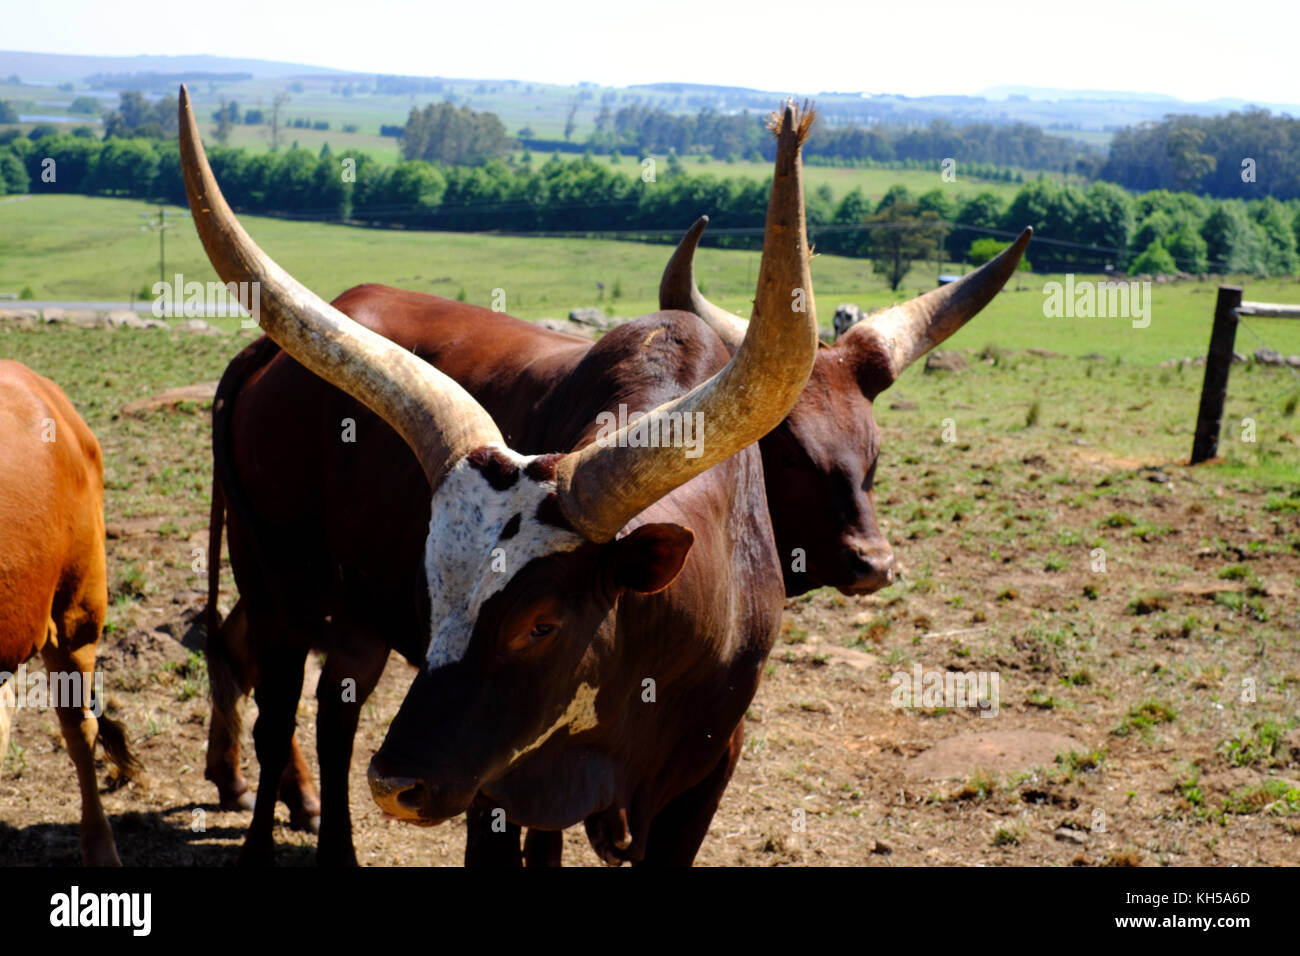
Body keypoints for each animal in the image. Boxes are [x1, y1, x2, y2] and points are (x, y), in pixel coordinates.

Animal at [182, 85, 816, 868]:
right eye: (430, 595)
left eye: (541, 624)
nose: (397, 784)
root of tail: (265, 357)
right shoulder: (503, 786)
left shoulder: (706, 772)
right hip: (277, 583)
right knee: (275, 717)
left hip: (351, 613)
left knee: (335, 709)